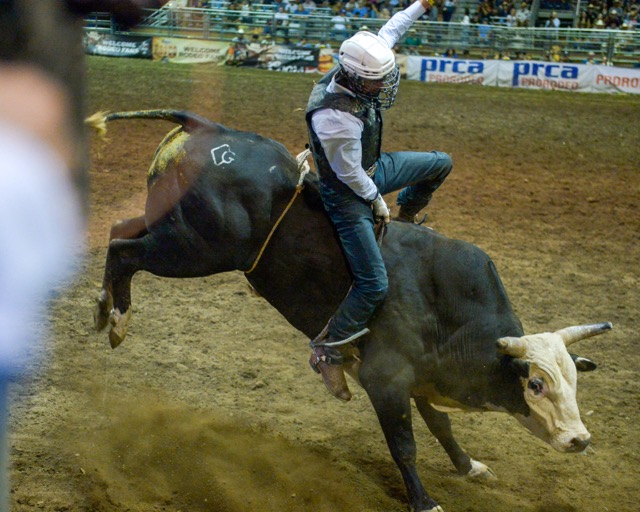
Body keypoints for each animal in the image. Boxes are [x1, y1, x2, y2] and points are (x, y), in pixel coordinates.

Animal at [92, 111, 612, 512]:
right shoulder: (386, 379)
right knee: (123, 250)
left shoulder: (420, 378)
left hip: (171, 227)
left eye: (574, 381)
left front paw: (470, 467)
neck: (452, 318)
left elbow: (441, 426)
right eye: (536, 384)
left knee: (119, 228)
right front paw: (425, 501)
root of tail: (207, 126)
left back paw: (103, 307)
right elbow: (405, 446)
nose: (580, 439)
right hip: (197, 250)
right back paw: (117, 320)